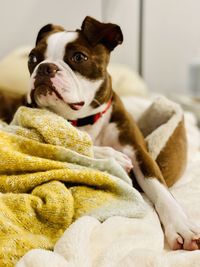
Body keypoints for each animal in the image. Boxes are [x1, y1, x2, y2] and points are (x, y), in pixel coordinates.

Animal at [1, 16, 200, 251]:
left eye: (79, 57)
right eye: (33, 58)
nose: (44, 68)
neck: (83, 120)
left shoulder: (140, 153)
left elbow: (161, 190)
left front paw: (181, 226)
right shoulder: (25, 128)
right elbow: (68, 145)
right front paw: (113, 156)